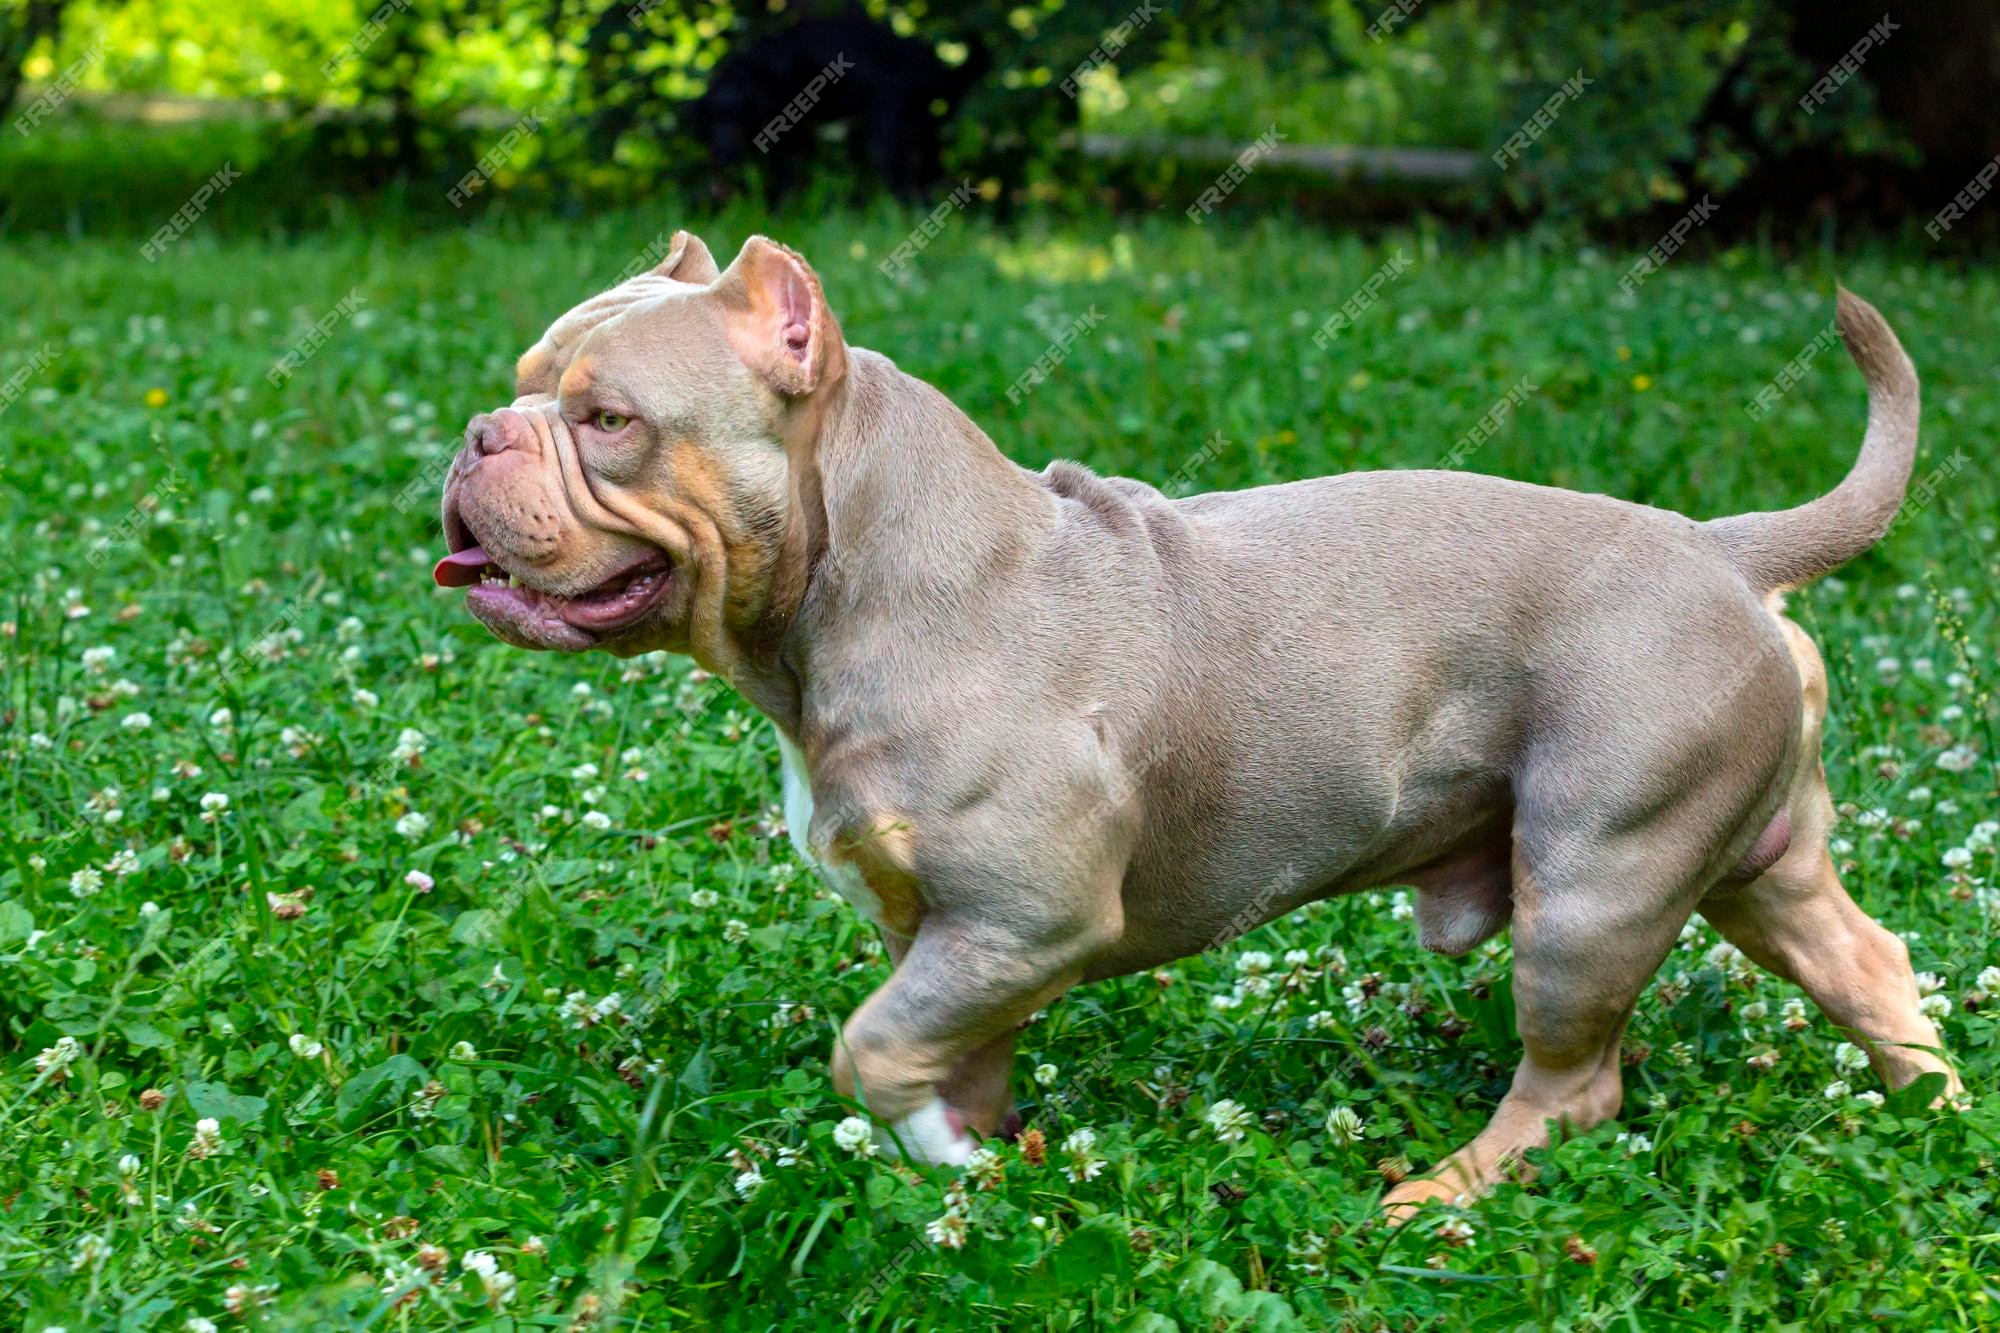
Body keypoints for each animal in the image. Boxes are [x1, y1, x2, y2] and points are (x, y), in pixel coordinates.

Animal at [434, 233, 1952, 1208]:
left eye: (609, 420)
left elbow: (868, 1046)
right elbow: (942, 1043)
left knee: (1573, 1083)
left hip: (1594, 879)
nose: (476, 433)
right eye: (520, 379)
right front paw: (979, 1164)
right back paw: (1929, 1109)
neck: (851, 582)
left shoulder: (1024, 919)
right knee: (1867, 963)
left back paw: (1438, 1193)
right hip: (1750, 860)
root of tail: (1724, 550)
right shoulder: (952, 935)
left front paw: (940, 1152)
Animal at [692, 14, 988, 200]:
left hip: (887, 132)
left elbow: (787, 177)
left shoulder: (789, 136)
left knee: (903, 181)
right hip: (921, 128)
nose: (722, 153)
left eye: (735, 120)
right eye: (712, 121)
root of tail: (922, 59)